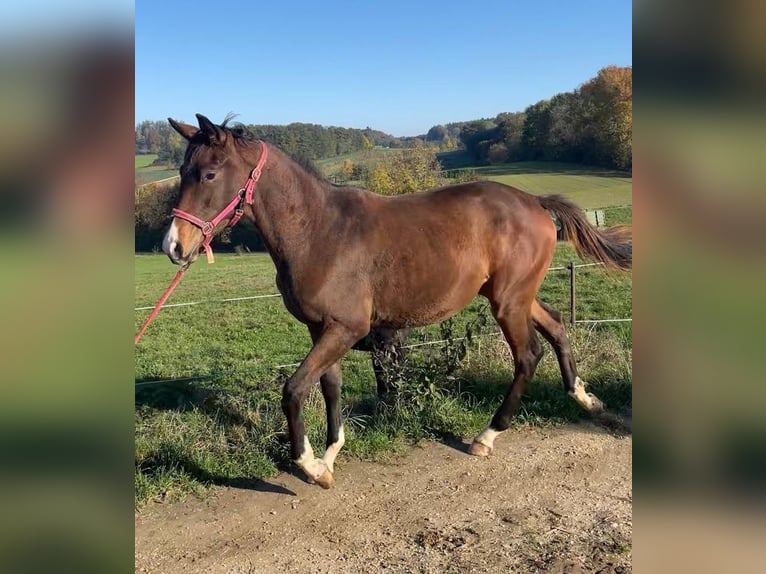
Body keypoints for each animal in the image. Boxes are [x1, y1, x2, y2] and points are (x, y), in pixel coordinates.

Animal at [165, 113, 632, 490]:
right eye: (183, 171)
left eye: (209, 174)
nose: (174, 246)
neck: (318, 229)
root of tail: (534, 201)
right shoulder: (322, 328)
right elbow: (330, 386)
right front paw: (331, 456)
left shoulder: (347, 327)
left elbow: (295, 389)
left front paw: (310, 466)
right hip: (516, 296)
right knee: (556, 326)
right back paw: (585, 398)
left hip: (509, 302)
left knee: (529, 355)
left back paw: (487, 437)